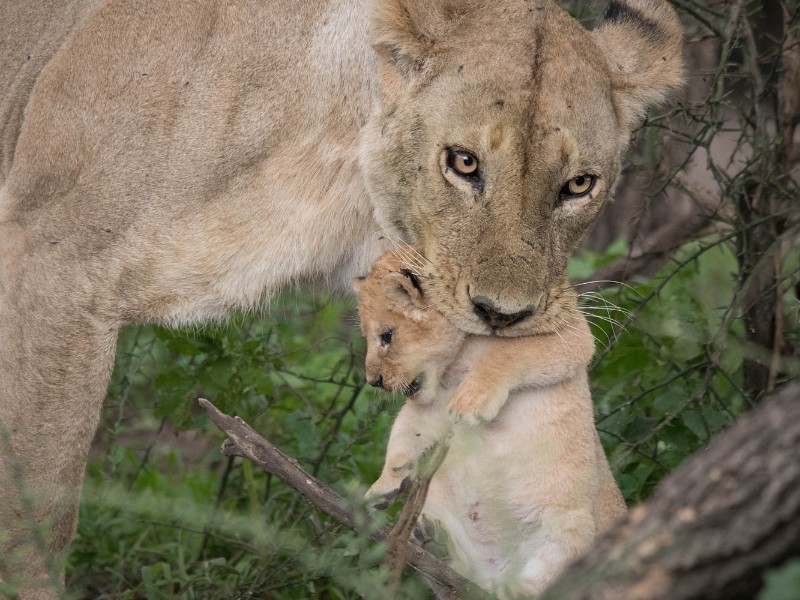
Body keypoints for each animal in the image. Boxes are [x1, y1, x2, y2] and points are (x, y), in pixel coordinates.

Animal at [354, 250, 627, 596]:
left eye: (386, 336)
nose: (373, 380)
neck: (458, 360)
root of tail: (496, 573)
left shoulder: (569, 333)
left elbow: (505, 355)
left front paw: (471, 404)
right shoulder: (430, 406)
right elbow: (404, 434)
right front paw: (383, 487)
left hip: (571, 528)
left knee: (551, 576)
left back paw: (514, 589)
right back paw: (427, 538)